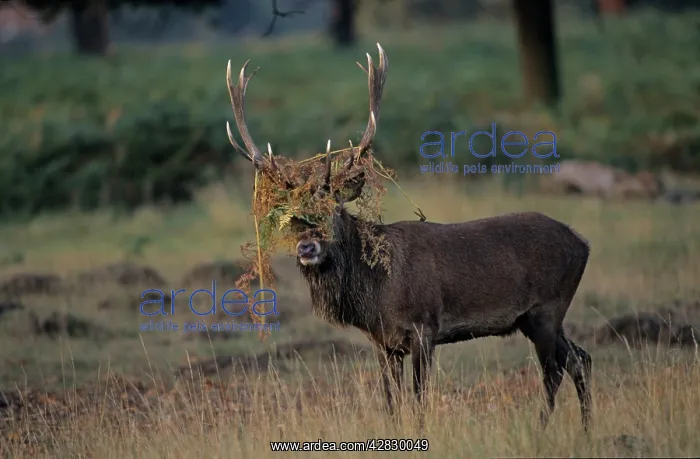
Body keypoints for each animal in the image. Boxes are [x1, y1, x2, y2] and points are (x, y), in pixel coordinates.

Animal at [225, 43, 593, 432]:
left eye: (333, 209)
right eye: (294, 217)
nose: (307, 247)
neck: (376, 293)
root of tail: (582, 244)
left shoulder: (423, 326)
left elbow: (419, 399)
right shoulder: (382, 342)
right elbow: (391, 402)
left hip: (547, 307)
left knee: (554, 371)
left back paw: (541, 428)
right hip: (538, 317)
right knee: (580, 359)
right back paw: (586, 430)